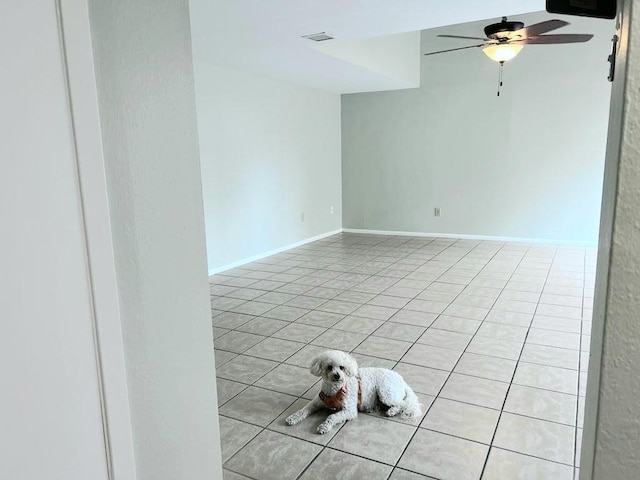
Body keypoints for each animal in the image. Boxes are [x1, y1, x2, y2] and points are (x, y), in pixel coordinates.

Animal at [284, 348, 420, 436]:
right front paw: (293, 418)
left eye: (342, 367)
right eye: (329, 367)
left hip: (386, 392)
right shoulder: (316, 403)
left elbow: (332, 416)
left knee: (402, 403)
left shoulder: (349, 411)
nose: (337, 376)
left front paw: (324, 426)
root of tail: (402, 380)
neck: (334, 389)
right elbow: (303, 410)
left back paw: (392, 411)